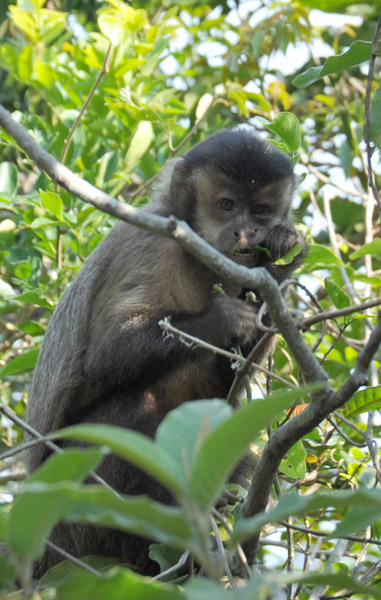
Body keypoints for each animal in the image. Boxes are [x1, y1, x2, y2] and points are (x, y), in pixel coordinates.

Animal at [24, 125, 306, 576]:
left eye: (261, 210)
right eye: (226, 206)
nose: (246, 234)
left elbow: (224, 386)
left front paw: (279, 262)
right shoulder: (152, 244)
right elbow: (106, 355)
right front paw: (221, 318)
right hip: (66, 506)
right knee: (135, 411)